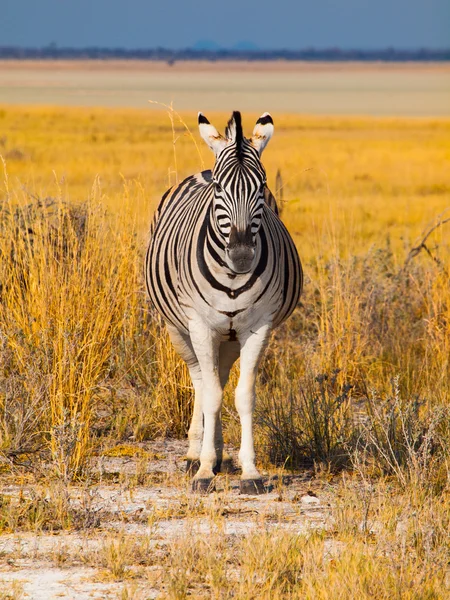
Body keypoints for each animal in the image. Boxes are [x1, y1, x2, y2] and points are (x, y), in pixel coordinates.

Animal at [147, 110, 302, 494]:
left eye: (261, 186)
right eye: (219, 188)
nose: (243, 255)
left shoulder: (258, 328)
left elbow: (243, 396)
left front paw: (251, 472)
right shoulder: (200, 326)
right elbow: (213, 395)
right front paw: (203, 471)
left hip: (229, 337)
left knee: (218, 375)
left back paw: (217, 452)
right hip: (179, 329)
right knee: (202, 379)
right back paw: (196, 453)